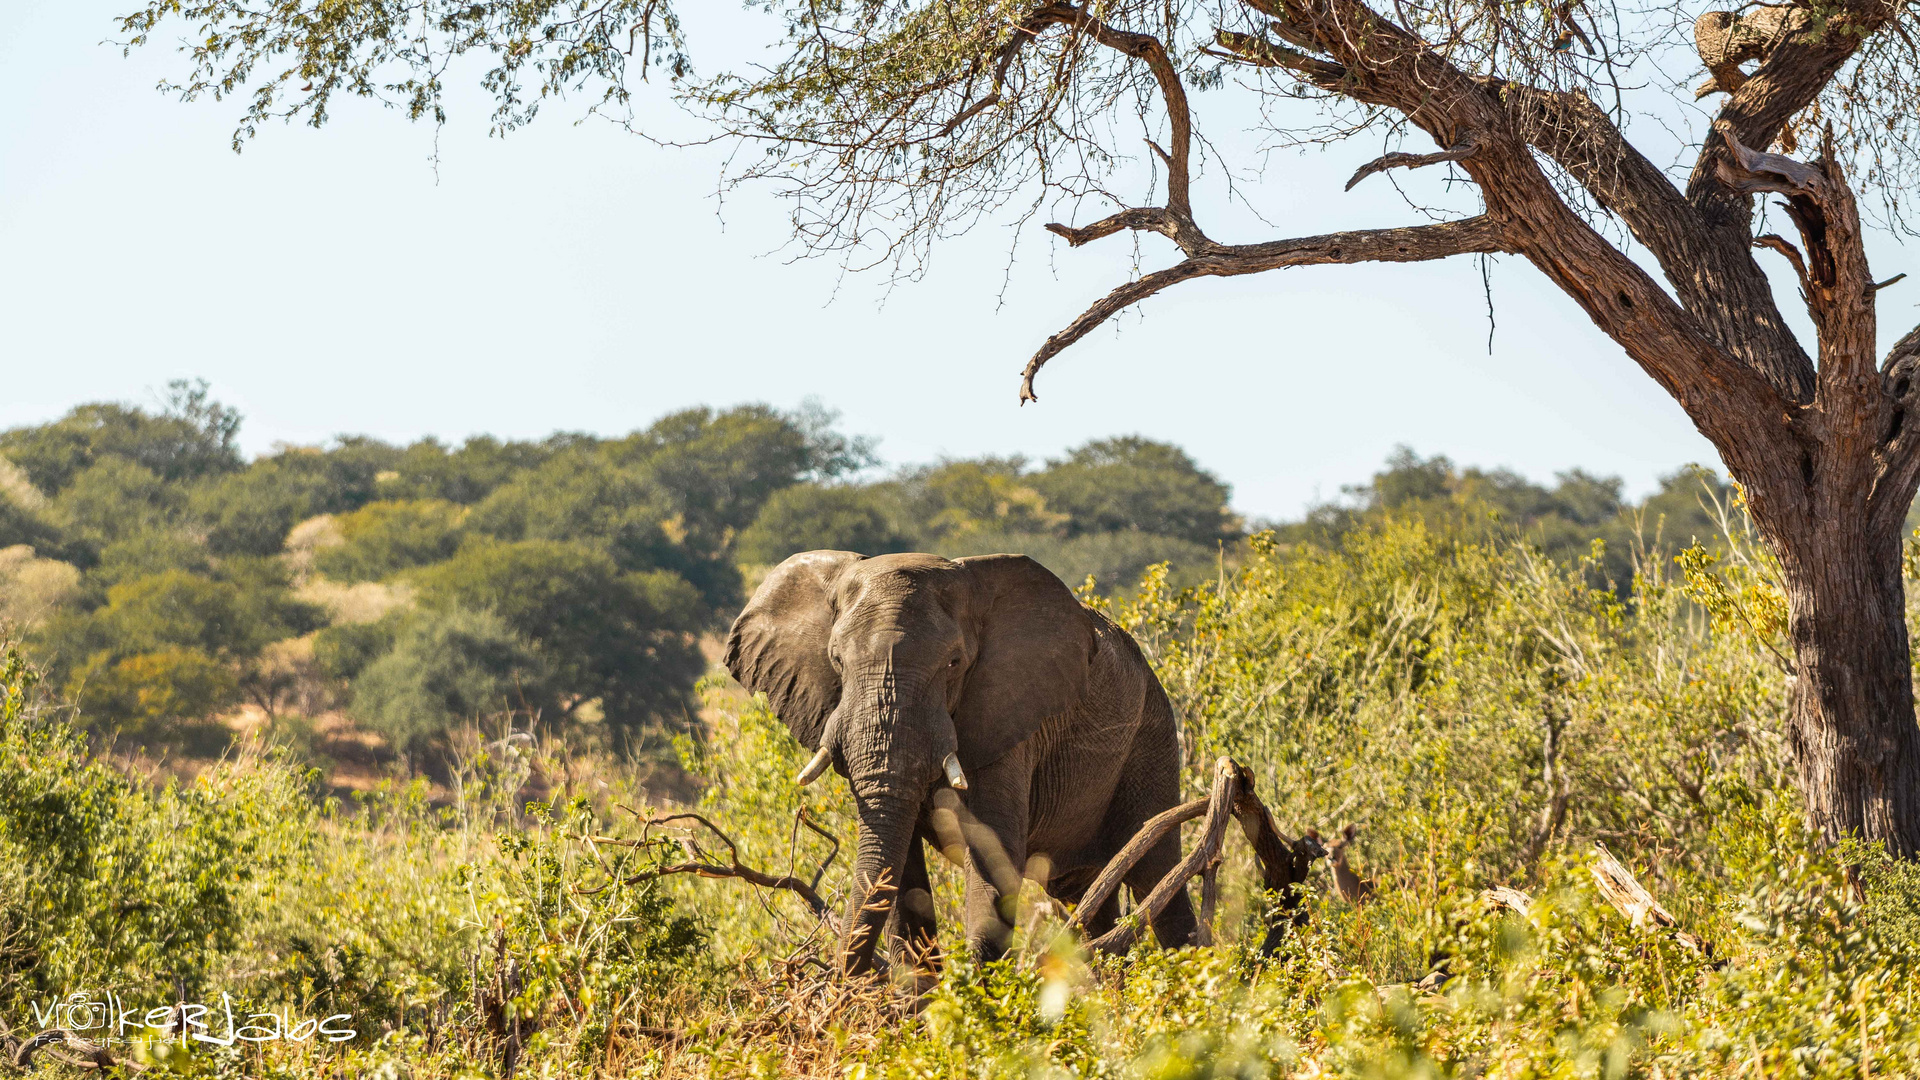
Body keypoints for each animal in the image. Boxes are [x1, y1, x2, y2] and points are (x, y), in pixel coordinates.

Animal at [725, 549, 1190, 972]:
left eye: (953, 663)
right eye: (837, 660)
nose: (844, 986)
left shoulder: (1009, 720)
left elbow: (992, 856)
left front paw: (974, 994)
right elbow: (902, 872)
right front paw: (920, 1002)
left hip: (1152, 739)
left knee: (1159, 878)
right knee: (1085, 893)